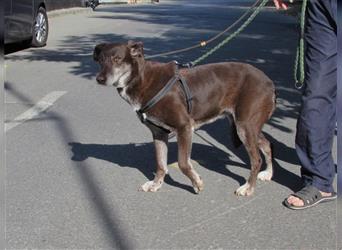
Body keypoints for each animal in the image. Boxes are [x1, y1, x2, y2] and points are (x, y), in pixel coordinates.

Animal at [93, 40, 276, 195]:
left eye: (117, 59)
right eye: (101, 60)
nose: (99, 79)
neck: (142, 80)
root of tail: (269, 82)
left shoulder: (185, 127)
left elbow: (183, 163)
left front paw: (196, 182)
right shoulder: (159, 133)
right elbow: (160, 164)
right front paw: (156, 183)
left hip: (244, 126)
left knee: (256, 159)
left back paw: (248, 187)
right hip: (247, 126)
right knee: (267, 144)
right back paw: (268, 173)